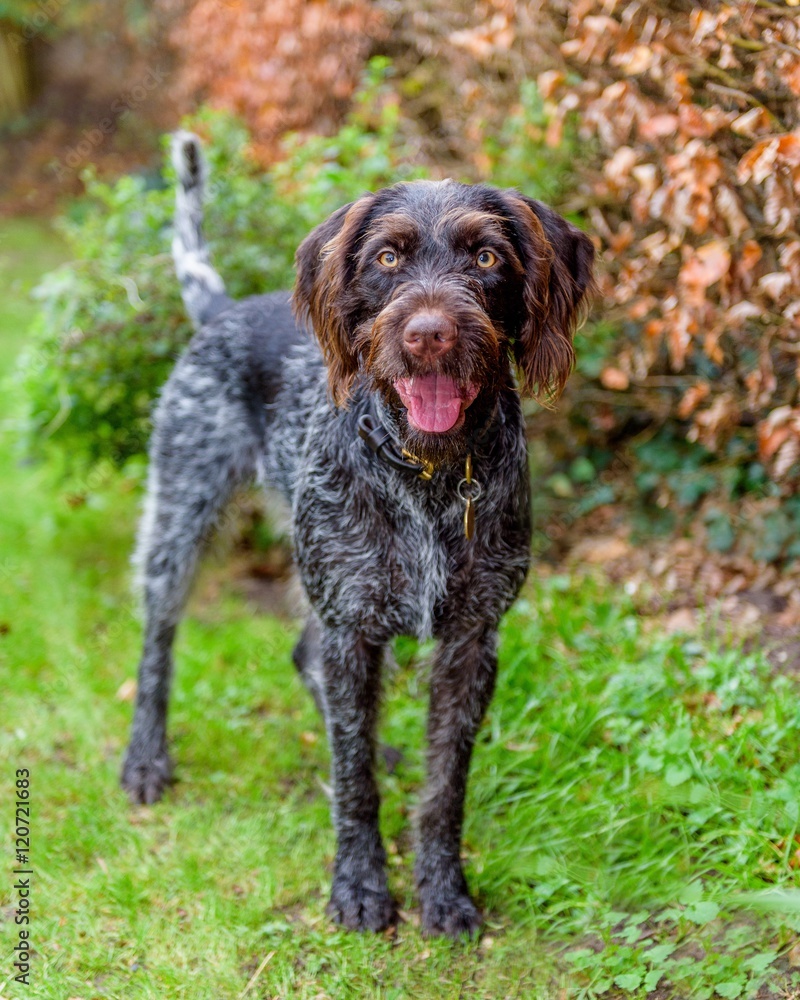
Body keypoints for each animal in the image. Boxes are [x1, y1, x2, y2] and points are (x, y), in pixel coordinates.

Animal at [119, 133, 592, 936]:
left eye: (487, 256)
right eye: (389, 257)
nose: (429, 334)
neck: (432, 474)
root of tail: (225, 308)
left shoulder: (471, 639)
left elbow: (443, 786)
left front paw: (444, 890)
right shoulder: (352, 624)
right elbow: (351, 777)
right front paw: (360, 884)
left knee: (307, 662)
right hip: (182, 512)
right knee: (159, 642)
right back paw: (146, 759)